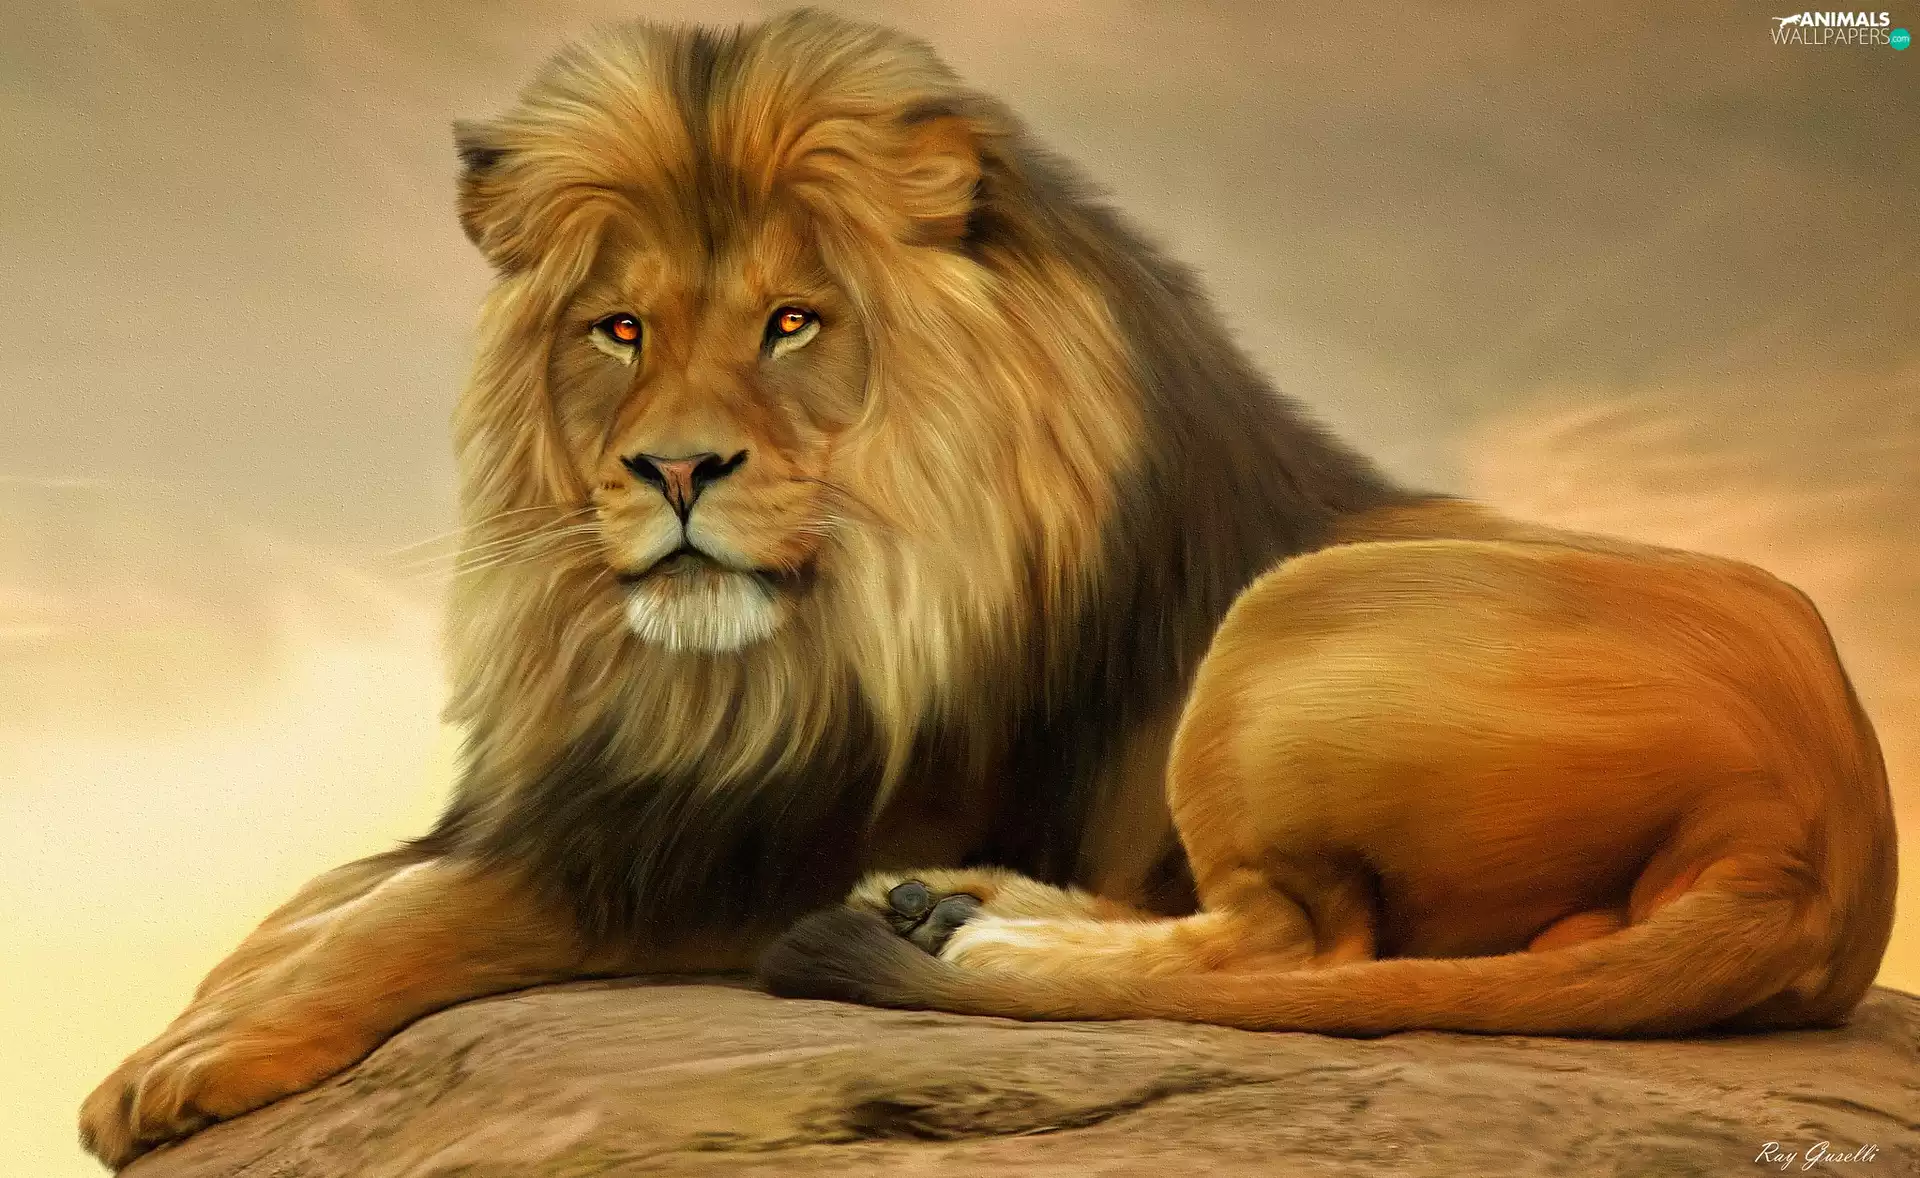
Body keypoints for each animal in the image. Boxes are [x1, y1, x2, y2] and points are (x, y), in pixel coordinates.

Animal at [79, 9, 1895, 1168]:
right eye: (619, 330)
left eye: (793, 323)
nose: (676, 471)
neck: (739, 658)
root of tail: (1825, 837)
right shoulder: (596, 788)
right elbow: (321, 897)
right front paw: (194, 1016)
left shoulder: (730, 847)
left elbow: (422, 912)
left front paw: (188, 1062)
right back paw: (953, 907)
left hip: (1286, 622)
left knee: (1297, 941)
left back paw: (958, 924)